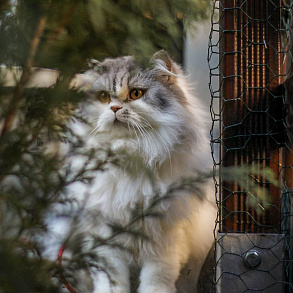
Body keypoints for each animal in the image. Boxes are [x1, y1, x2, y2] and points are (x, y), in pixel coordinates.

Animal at [65, 51, 217, 290]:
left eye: (135, 93)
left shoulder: (165, 242)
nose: (114, 108)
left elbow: (156, 281)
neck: (131, 154)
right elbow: (111, 282)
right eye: (103, 97)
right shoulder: (106, 241)